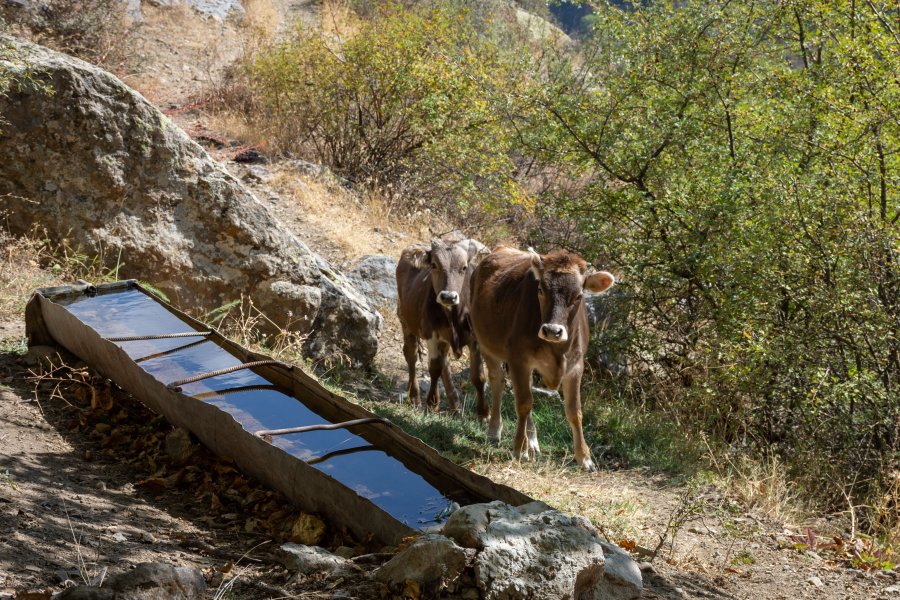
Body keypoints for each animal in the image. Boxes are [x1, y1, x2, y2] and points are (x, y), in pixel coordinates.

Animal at [398, 239, 488, 412]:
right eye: (434, 265)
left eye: (464, 267)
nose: (448, 296)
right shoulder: (432, 334)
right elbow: (434, 369)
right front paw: (431, 403)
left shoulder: (475, 339)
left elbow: (478, 376)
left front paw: (483, 412)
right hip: (405, 321)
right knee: (411, 355)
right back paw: (414, 396)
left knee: (444, 360)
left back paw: (455, 405)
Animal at [468, 246, 616, 472]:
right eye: (540, 290)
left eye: (579, 296)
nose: (552, 330)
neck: (557, 350)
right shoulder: (519, 360)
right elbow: (523, 404)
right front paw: (519, 449)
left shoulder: (575, 365)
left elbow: (575, 411)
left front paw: (584, 457)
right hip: (486, 345)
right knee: (498, 382)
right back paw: (495, 431)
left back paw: (533, 441)